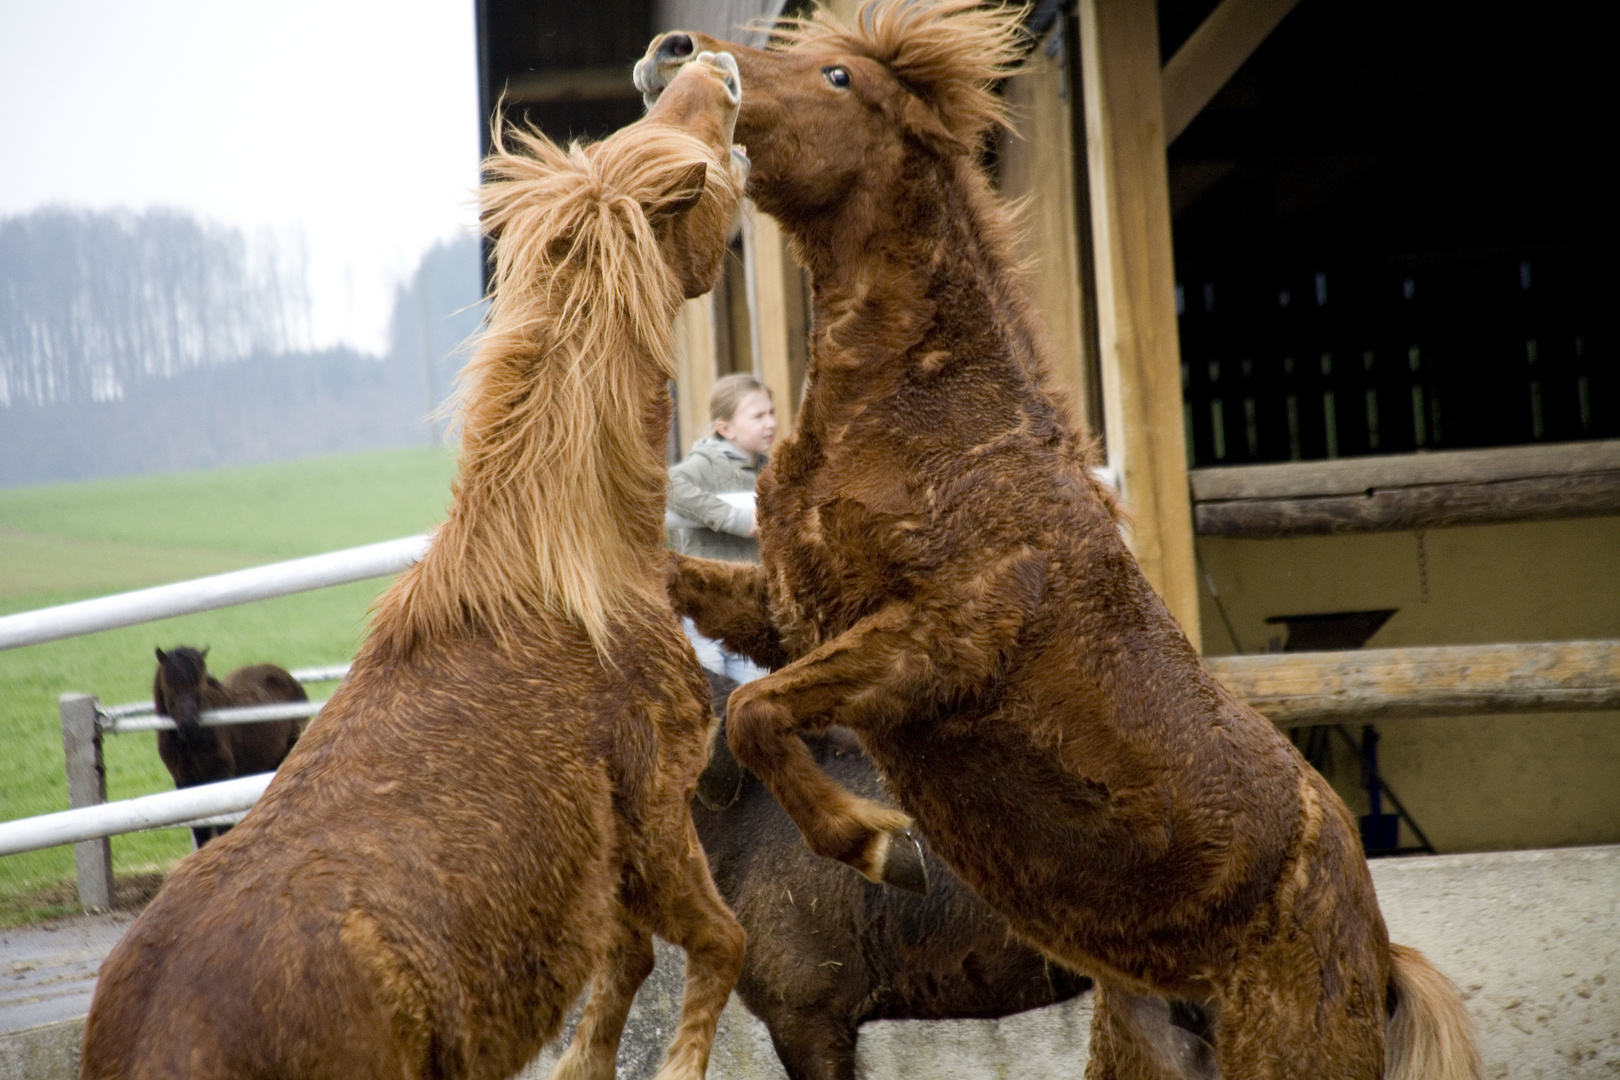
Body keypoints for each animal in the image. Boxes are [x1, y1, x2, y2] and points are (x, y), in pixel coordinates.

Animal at [153, 647, 307, 848]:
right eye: (168, 684)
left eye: (200, 684)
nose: (188, 726)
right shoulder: (184, 783)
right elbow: (200, 830)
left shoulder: (221, 778)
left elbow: (222, 826)